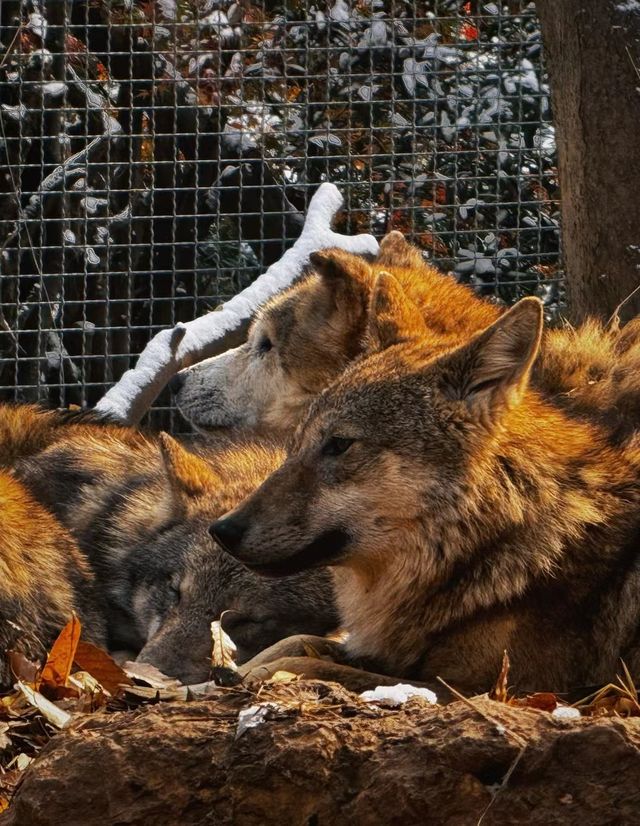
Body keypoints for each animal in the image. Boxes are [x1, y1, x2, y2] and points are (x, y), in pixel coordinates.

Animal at [210, 290, 640, 696]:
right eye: (296, 442)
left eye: (339, 444)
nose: (222, 530)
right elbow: (295, 642)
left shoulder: (487, 689)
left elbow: (300, 664)